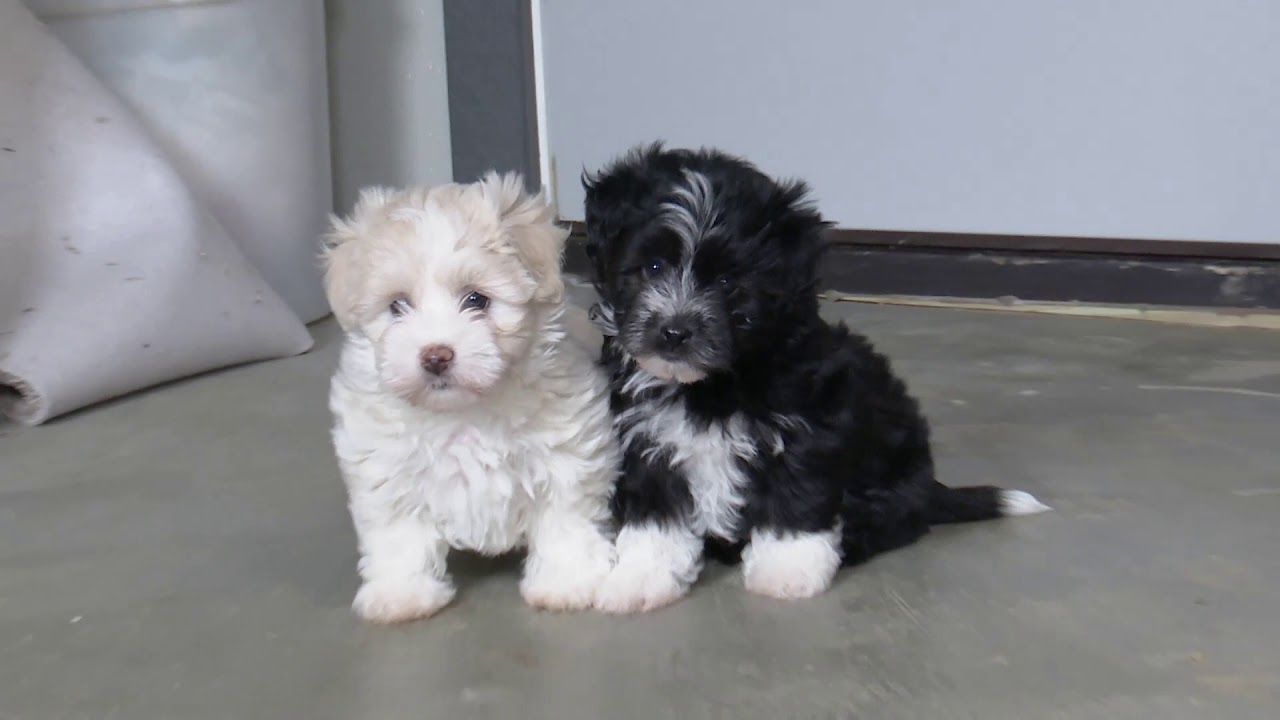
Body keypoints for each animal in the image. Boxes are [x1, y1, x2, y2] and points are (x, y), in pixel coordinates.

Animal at [320, 170, 619, 620]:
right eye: (397, 306)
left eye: (476, 299)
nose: (435, 356)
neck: (463, 413)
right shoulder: (387, 468)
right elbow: (398, 533)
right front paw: (402, 594)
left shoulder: (565, 453)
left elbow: (565, 517)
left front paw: (568, 581)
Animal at [586, 144, 1044, 609]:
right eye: (652, 266)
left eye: (729, 281)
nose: (675, 332)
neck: (711, 384)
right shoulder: (644, 436)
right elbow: (655, 516)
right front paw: (642, 577)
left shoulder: (808, 423)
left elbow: (795, 494)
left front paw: (787, 570)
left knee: (895, 518)